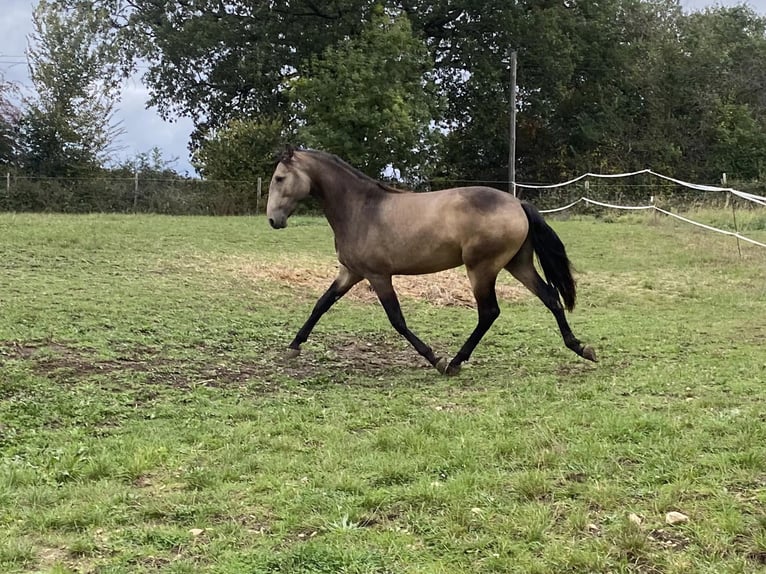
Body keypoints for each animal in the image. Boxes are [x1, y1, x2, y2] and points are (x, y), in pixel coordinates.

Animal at [268, 146, 596, 376]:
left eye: (280, 178)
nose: (273, 220)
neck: (361, 209)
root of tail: (518, 203)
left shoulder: (378, 275)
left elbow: (397, 320)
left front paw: (435, 358)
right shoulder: (350, 272)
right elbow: (321, 304)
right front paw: (293, 347)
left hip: (482, 268)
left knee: (489, 312)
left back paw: (455, 362)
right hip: (518, 264)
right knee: (550, 297)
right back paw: (581, 347)